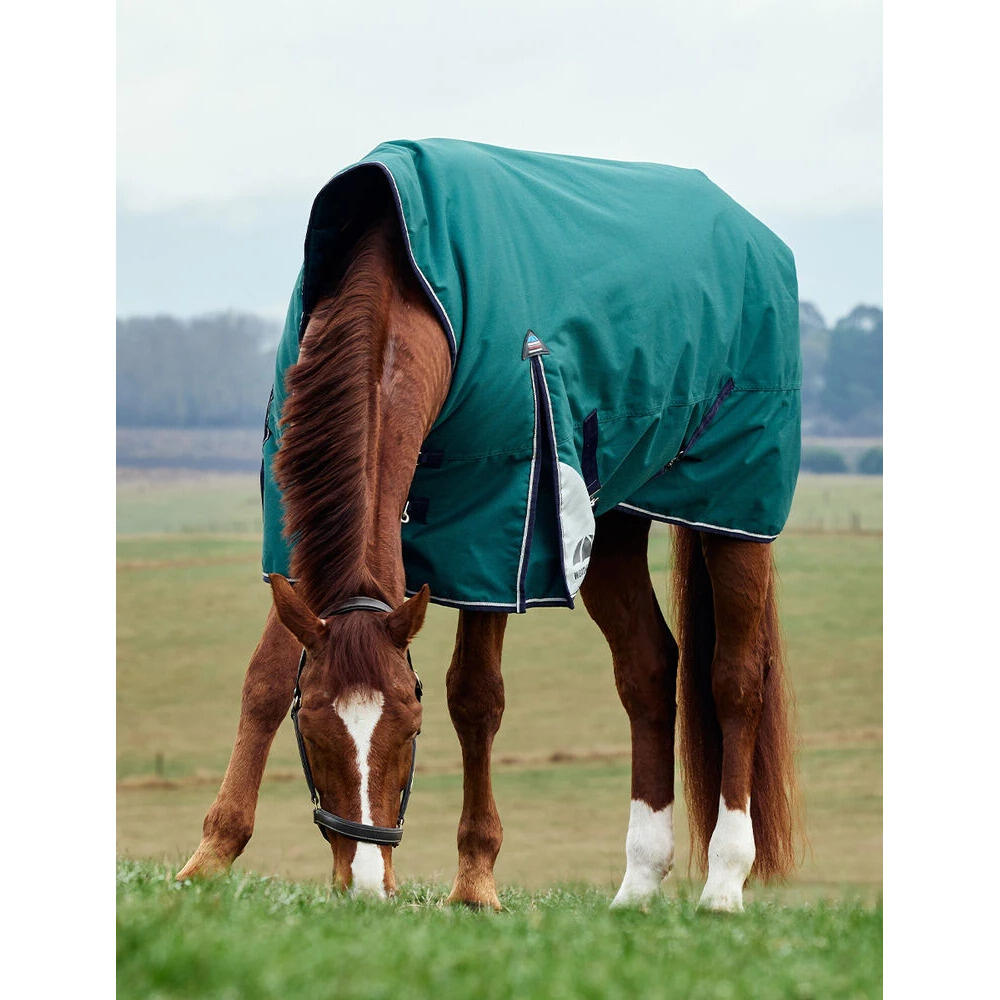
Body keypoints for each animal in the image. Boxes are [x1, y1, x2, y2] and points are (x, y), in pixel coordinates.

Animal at [177, 141, 799, 912]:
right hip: (608, 524)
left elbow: (475, 696)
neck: (407, 290)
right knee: (649, 670)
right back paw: (636, 885)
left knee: (735, 677)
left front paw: (474, 880)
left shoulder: (494, 532)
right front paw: (210, 857)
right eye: (313, 725)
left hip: (735, 513)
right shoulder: (292, 536)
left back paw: (723, 882)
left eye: (410, 729)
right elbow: (263, 678)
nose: (367, 884)